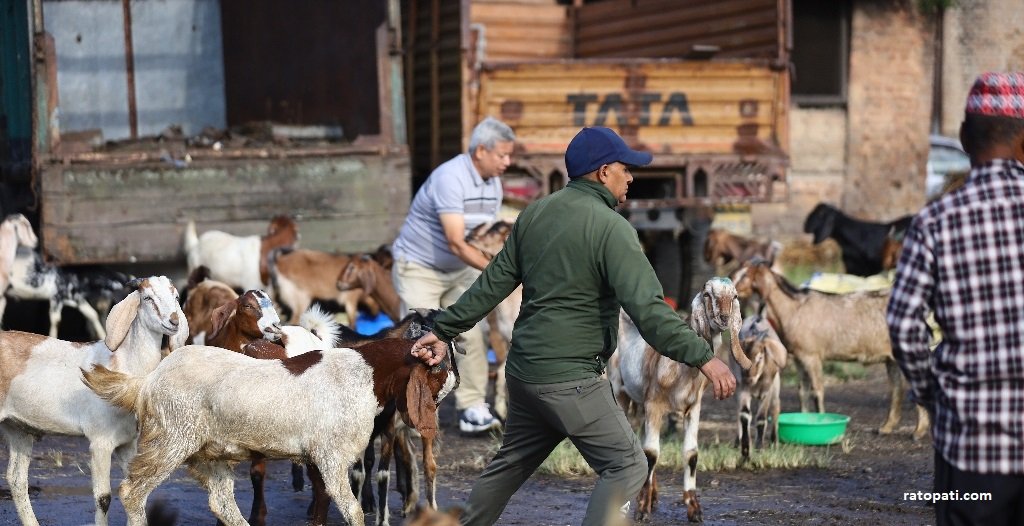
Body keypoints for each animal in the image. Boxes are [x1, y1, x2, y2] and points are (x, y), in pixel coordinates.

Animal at [0, 274, 188, 523]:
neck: (122, 364)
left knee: (17, 479)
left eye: (175, 296)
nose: (174, 321)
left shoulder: (127, 444)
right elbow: (103, 498)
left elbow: (136, 493)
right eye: (147, 297)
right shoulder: (100, 442)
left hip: (18, 428)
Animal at [81, 335, 458, 523]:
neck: (367, 373)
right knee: (133, 492)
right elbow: (351, 510)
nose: (454, 382)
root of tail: (147, 382)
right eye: (438, 371)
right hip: (171, 438)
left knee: (221, 503)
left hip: (209, 452)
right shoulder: (330, 456)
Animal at [602, 276, 749, 521]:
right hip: (620, 390)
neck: (682, 371)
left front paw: (694, 510)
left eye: (735, 296)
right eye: (707, 294)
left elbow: (691, 454)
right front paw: (642, 511)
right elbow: (652, 454)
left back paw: (653, 497)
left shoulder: (694, 407)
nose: (724, 318)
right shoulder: (654, 404)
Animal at [733, 258, 933, 437]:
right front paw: (803, 417)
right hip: (892, 358)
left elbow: (817, 390)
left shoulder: (811, 356)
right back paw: (886, 428)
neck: (794, 308)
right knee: (897, 388)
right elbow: (802, 391)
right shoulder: (799, 358)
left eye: (745, 276)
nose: (731, 289)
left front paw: (821, 420)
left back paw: (919, 431)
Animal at [733, 313, 786, 456]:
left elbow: (762, 418)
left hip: (776, 385)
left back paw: (774, 442)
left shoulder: (767, 391)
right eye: (741, 357)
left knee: (775, 407)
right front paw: (745, 445)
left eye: (760, 357)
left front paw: (759, 447)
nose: (749, 378)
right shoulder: (743, 389)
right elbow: (744, 414)